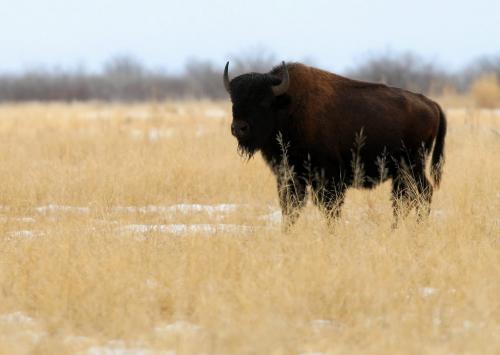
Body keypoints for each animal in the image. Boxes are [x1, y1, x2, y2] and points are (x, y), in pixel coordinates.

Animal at [223, 61, 446, 229]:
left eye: (263, 100)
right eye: (234, 100)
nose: (239, 128)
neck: (287, 106)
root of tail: (431, 104)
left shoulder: (329, 178)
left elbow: (330, 209)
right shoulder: (290, 177)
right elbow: (291, 208)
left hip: (411, 167)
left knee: (421, 194)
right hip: (402, 172)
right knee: (406, 199)